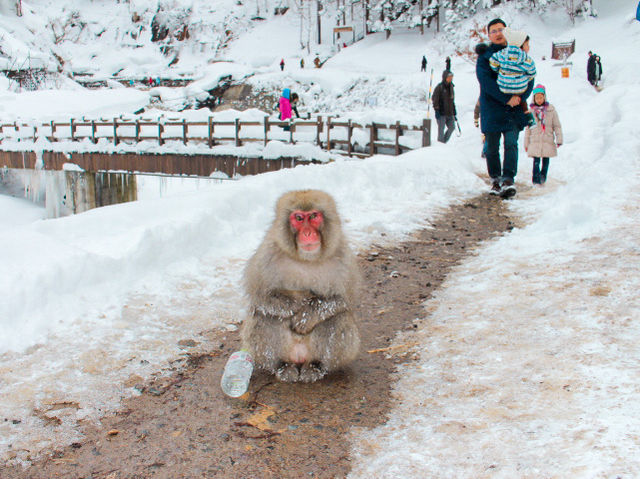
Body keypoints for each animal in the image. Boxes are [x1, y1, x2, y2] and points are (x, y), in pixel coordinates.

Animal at [240, 190, 360, 382]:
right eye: (298, 218)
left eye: (313, 216)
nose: (308, 233)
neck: (305, 259)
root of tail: (299, 356)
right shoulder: (266, 255)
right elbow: (259, 297)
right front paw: (295, 304)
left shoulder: (344, 258)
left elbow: (343, 300)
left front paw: (306, 315)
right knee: (265, 315)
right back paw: (282, 366)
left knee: (337, 318)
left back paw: (316, 366)